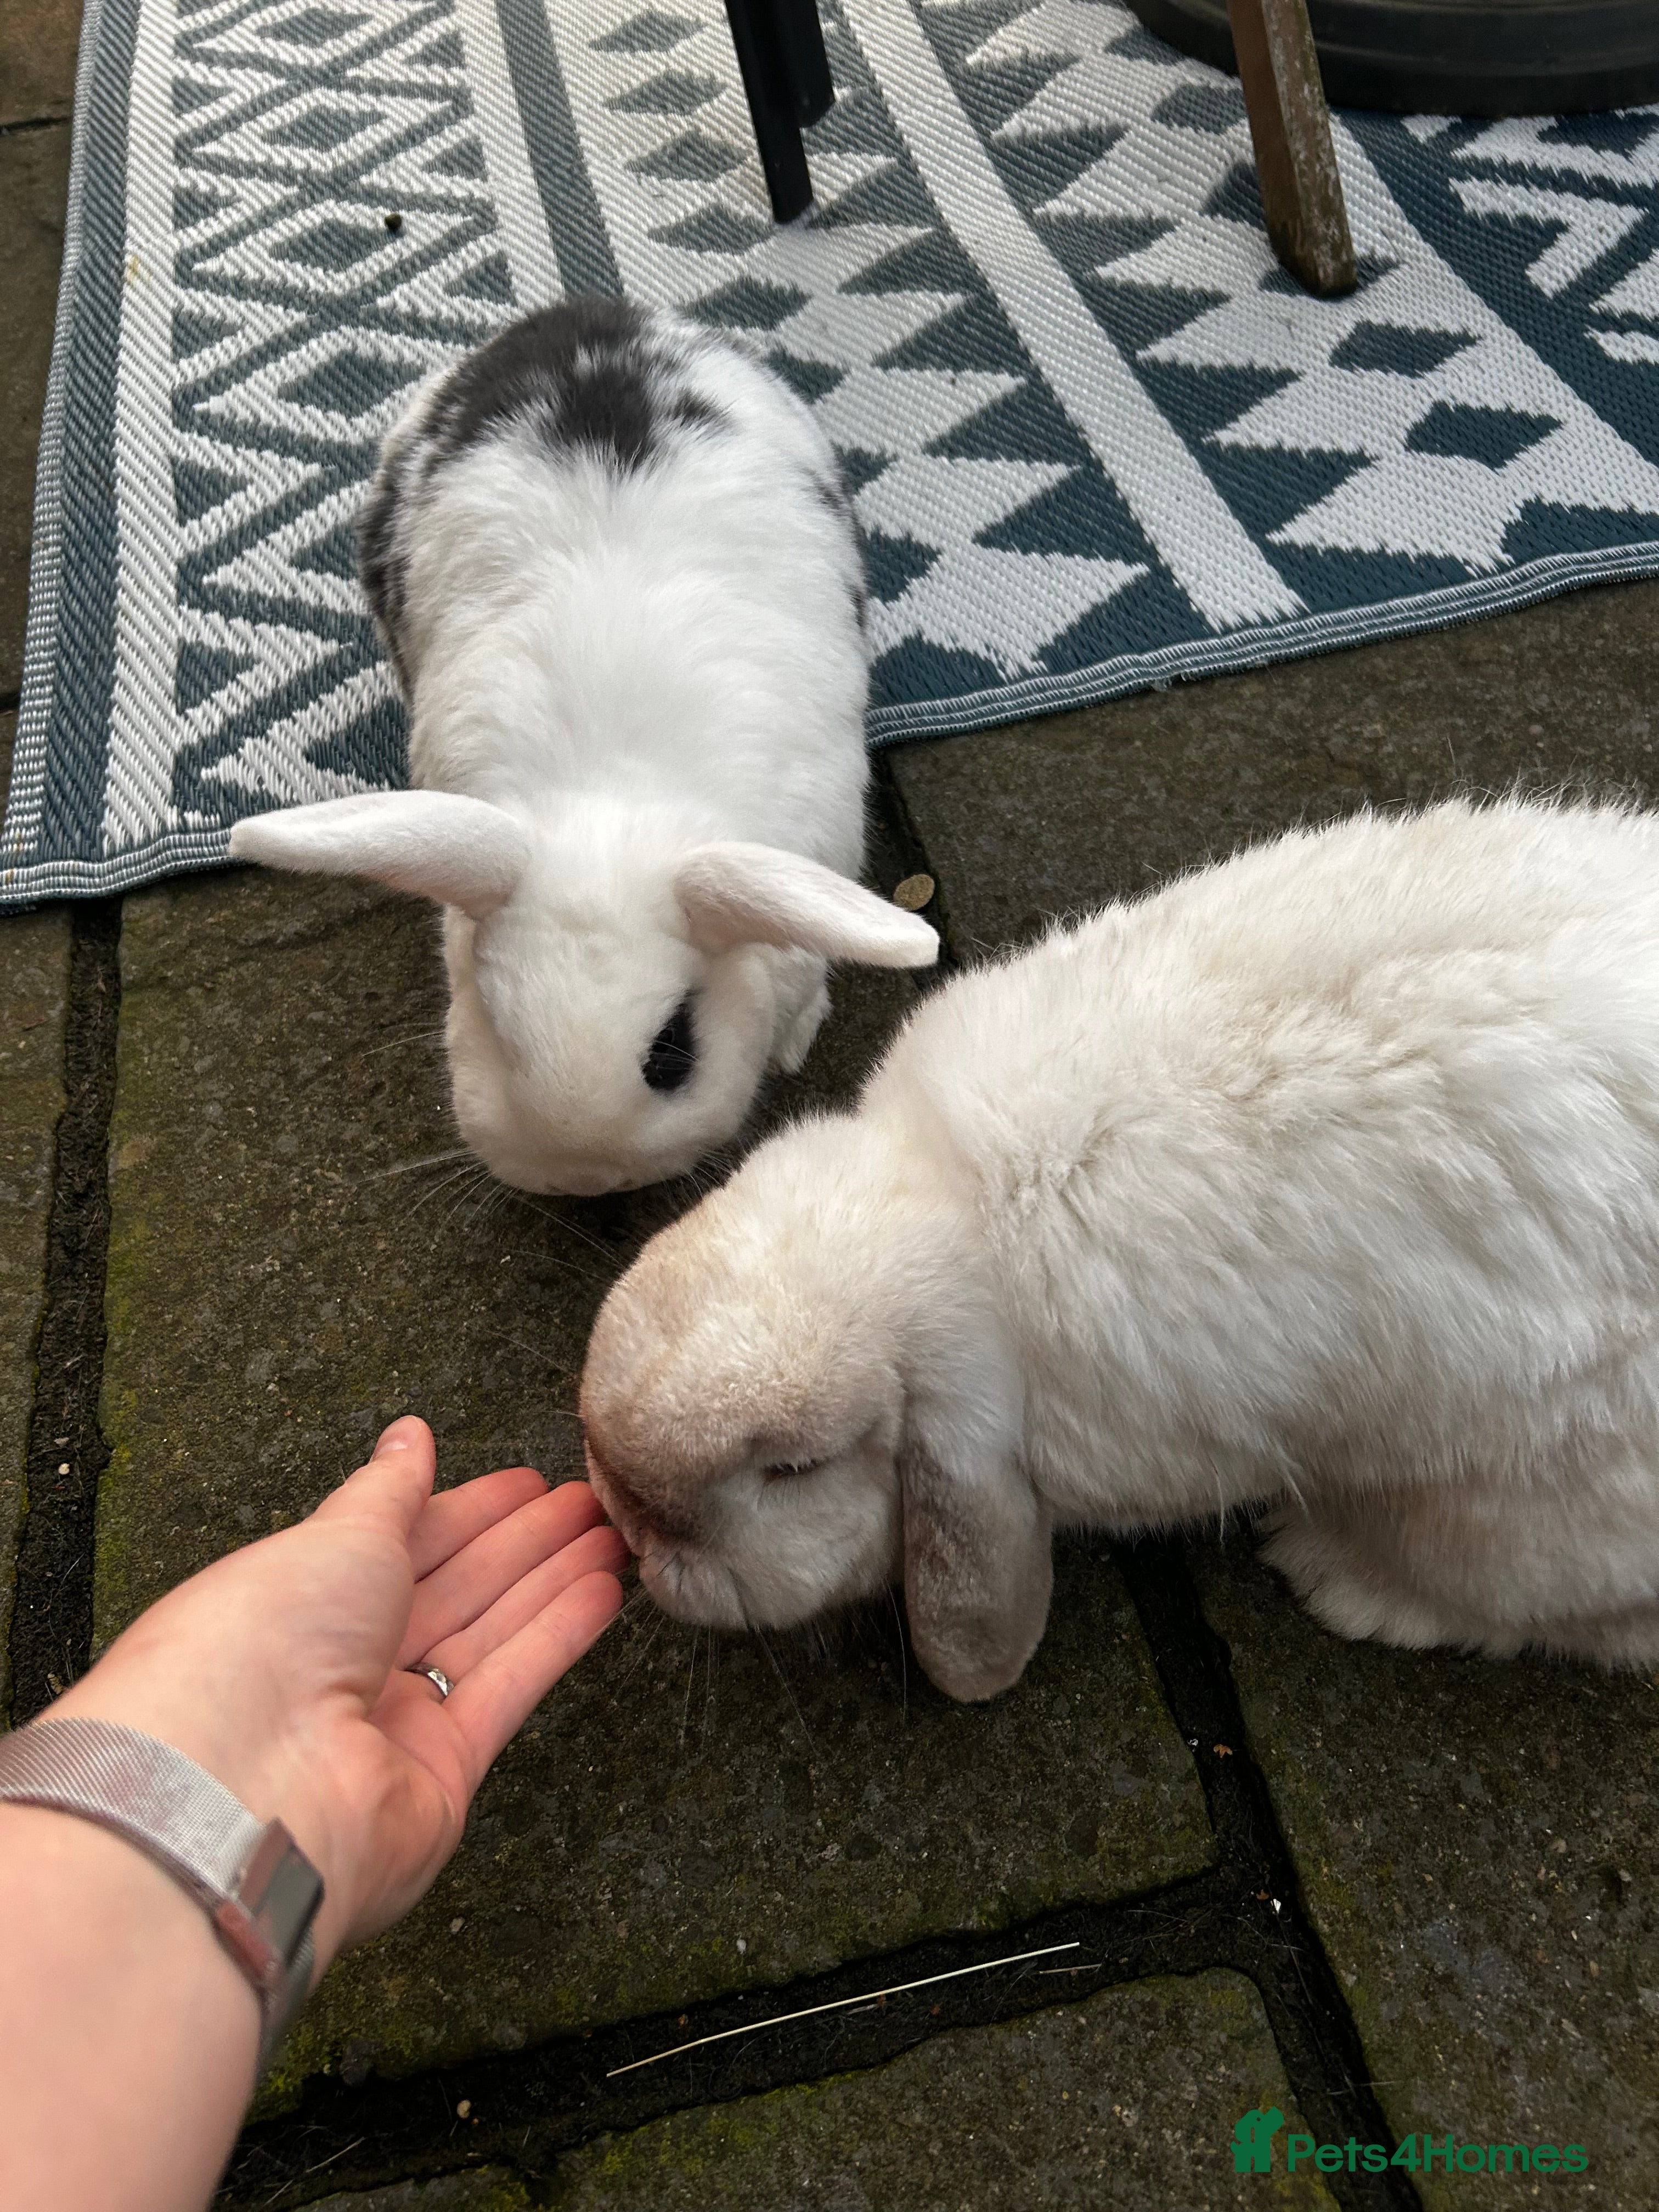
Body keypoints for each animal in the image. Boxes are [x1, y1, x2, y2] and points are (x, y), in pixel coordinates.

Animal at [227, 298, 936, 1196]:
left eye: (672, 1050)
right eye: (496, 1030)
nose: (587, 1179)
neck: (613, 793)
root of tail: (588, 315)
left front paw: (793, 1038)